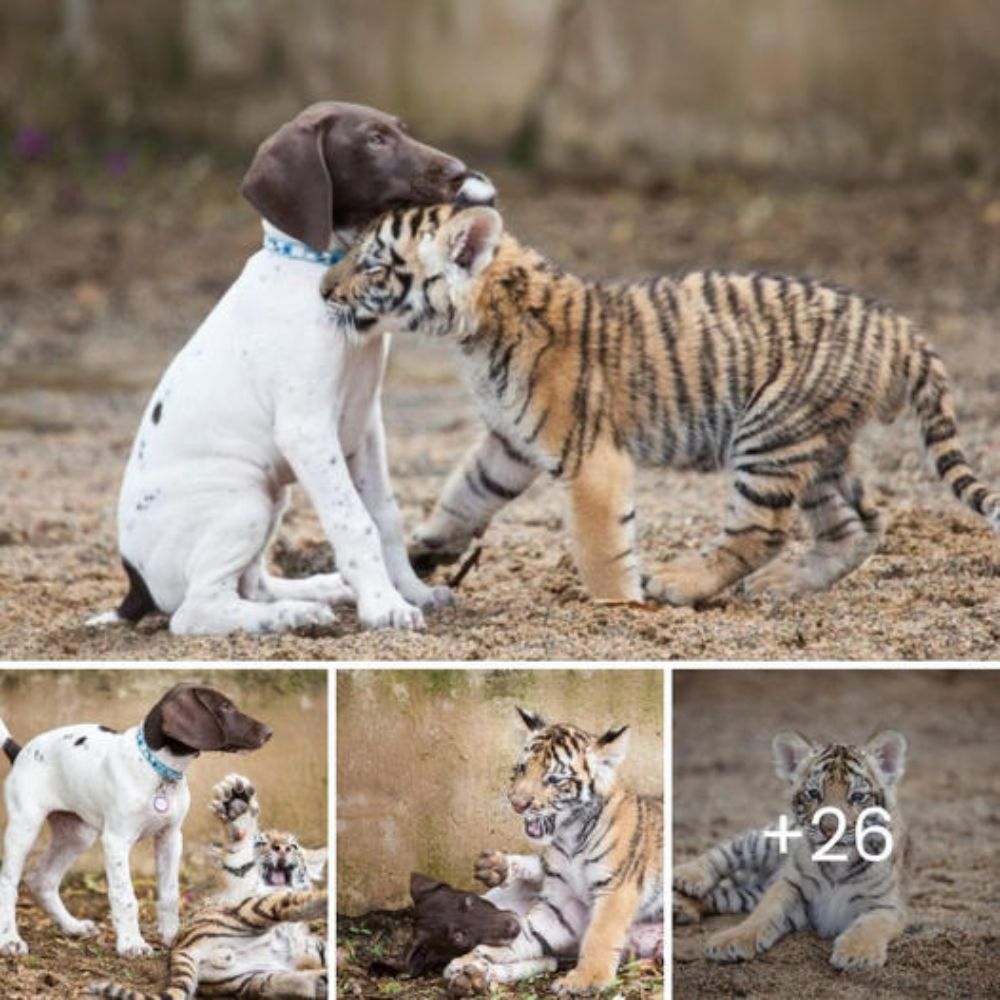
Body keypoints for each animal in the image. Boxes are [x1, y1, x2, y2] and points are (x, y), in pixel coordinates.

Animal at [88, 101, 494, 632]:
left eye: (400, 130)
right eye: (375, 140)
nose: (460, 172)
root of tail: (134, 583)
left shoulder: (365, 426)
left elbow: (385, 516)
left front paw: (412, 592)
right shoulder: (308, 431)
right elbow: (354, 522)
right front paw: (383, 605)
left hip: (269, 498)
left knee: (252, 584)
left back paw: (316, 592)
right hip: (243, 501)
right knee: (198, 611)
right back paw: (290, 616)